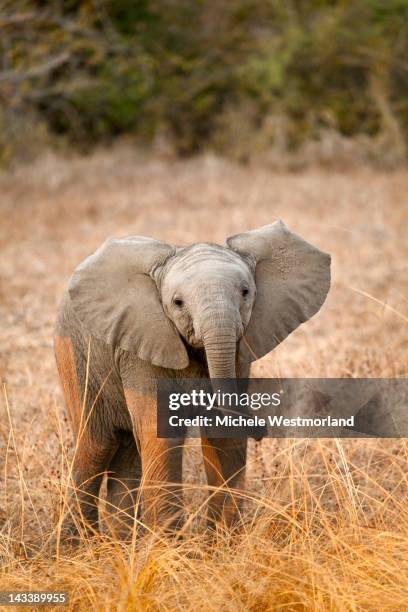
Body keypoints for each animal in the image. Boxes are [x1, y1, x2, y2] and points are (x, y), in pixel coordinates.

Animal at [54, 220, 330, 536]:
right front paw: (168, 548)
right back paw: (80, 544)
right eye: (178, 302)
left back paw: (120, 543)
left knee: (127, 455)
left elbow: (222, 435)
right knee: (96, 446)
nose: (260, 430)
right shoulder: (141, 347)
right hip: (73, 356)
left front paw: (223, 542)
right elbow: (163, 436)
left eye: (246, 292)